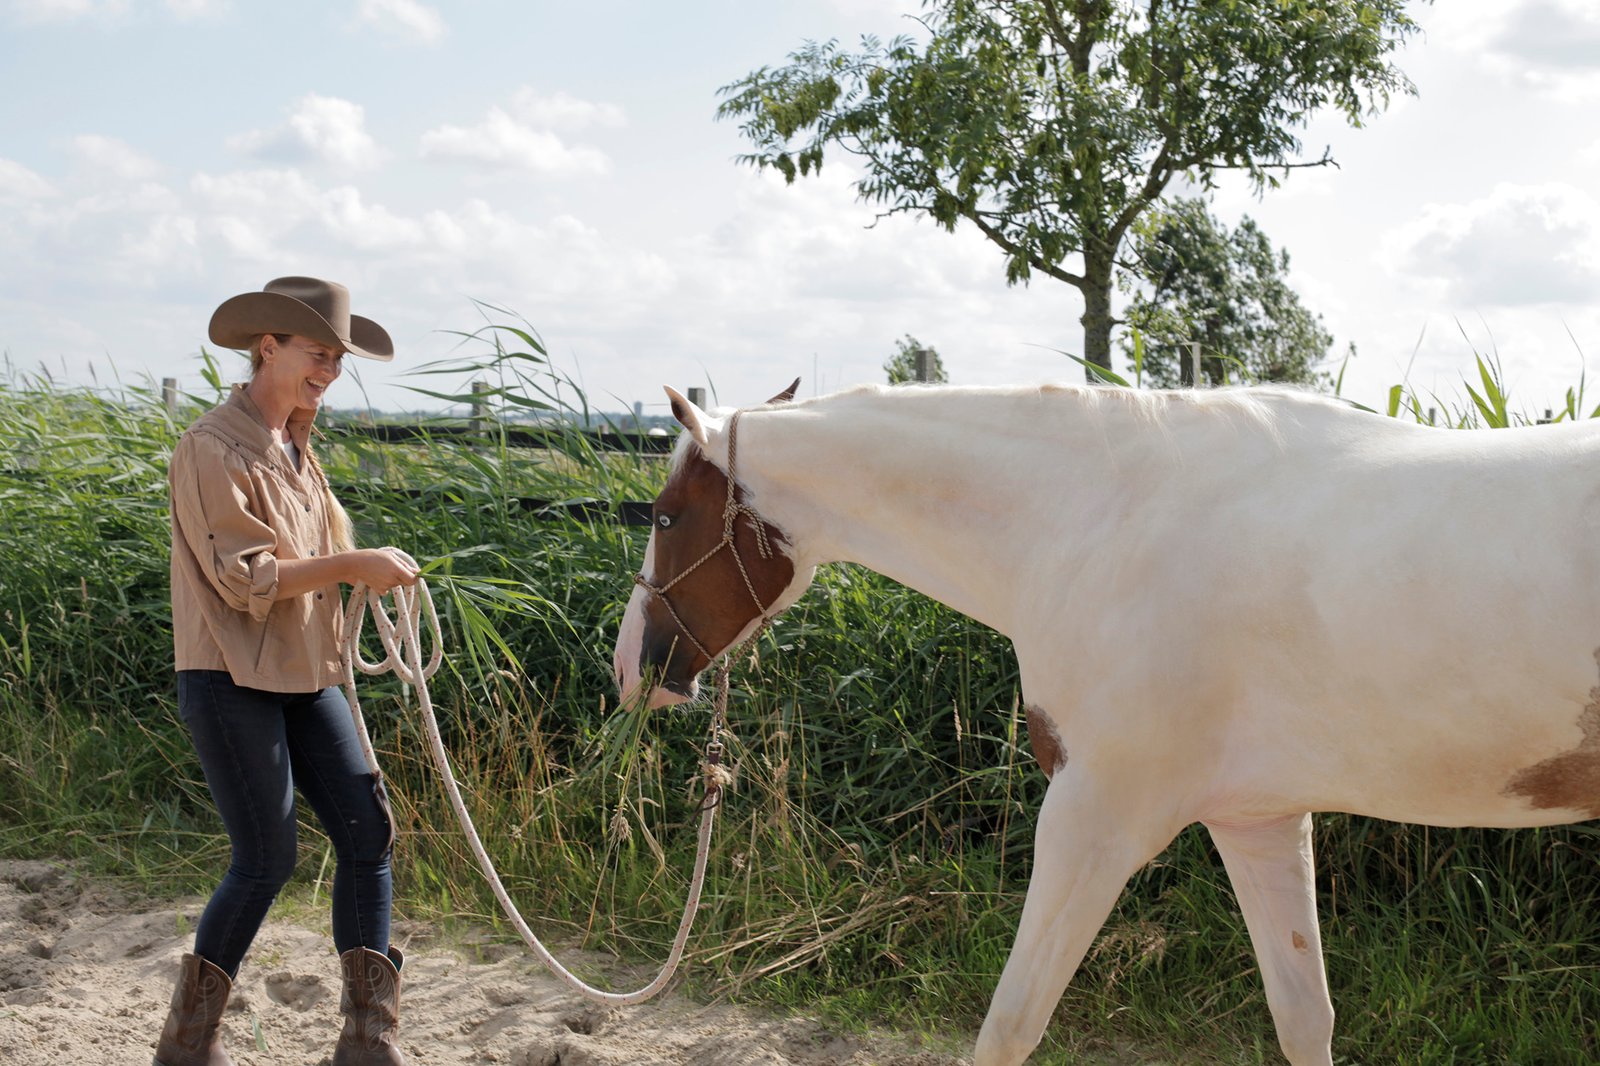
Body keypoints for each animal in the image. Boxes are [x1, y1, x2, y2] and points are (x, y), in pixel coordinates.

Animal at [612, 378, 1600, 1066]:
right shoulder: (1257, 820)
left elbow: (1010, 1024)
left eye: (665, 515)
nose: (630, 669)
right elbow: (1304, 1018)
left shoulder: (1096, 817)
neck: (1101, 521)